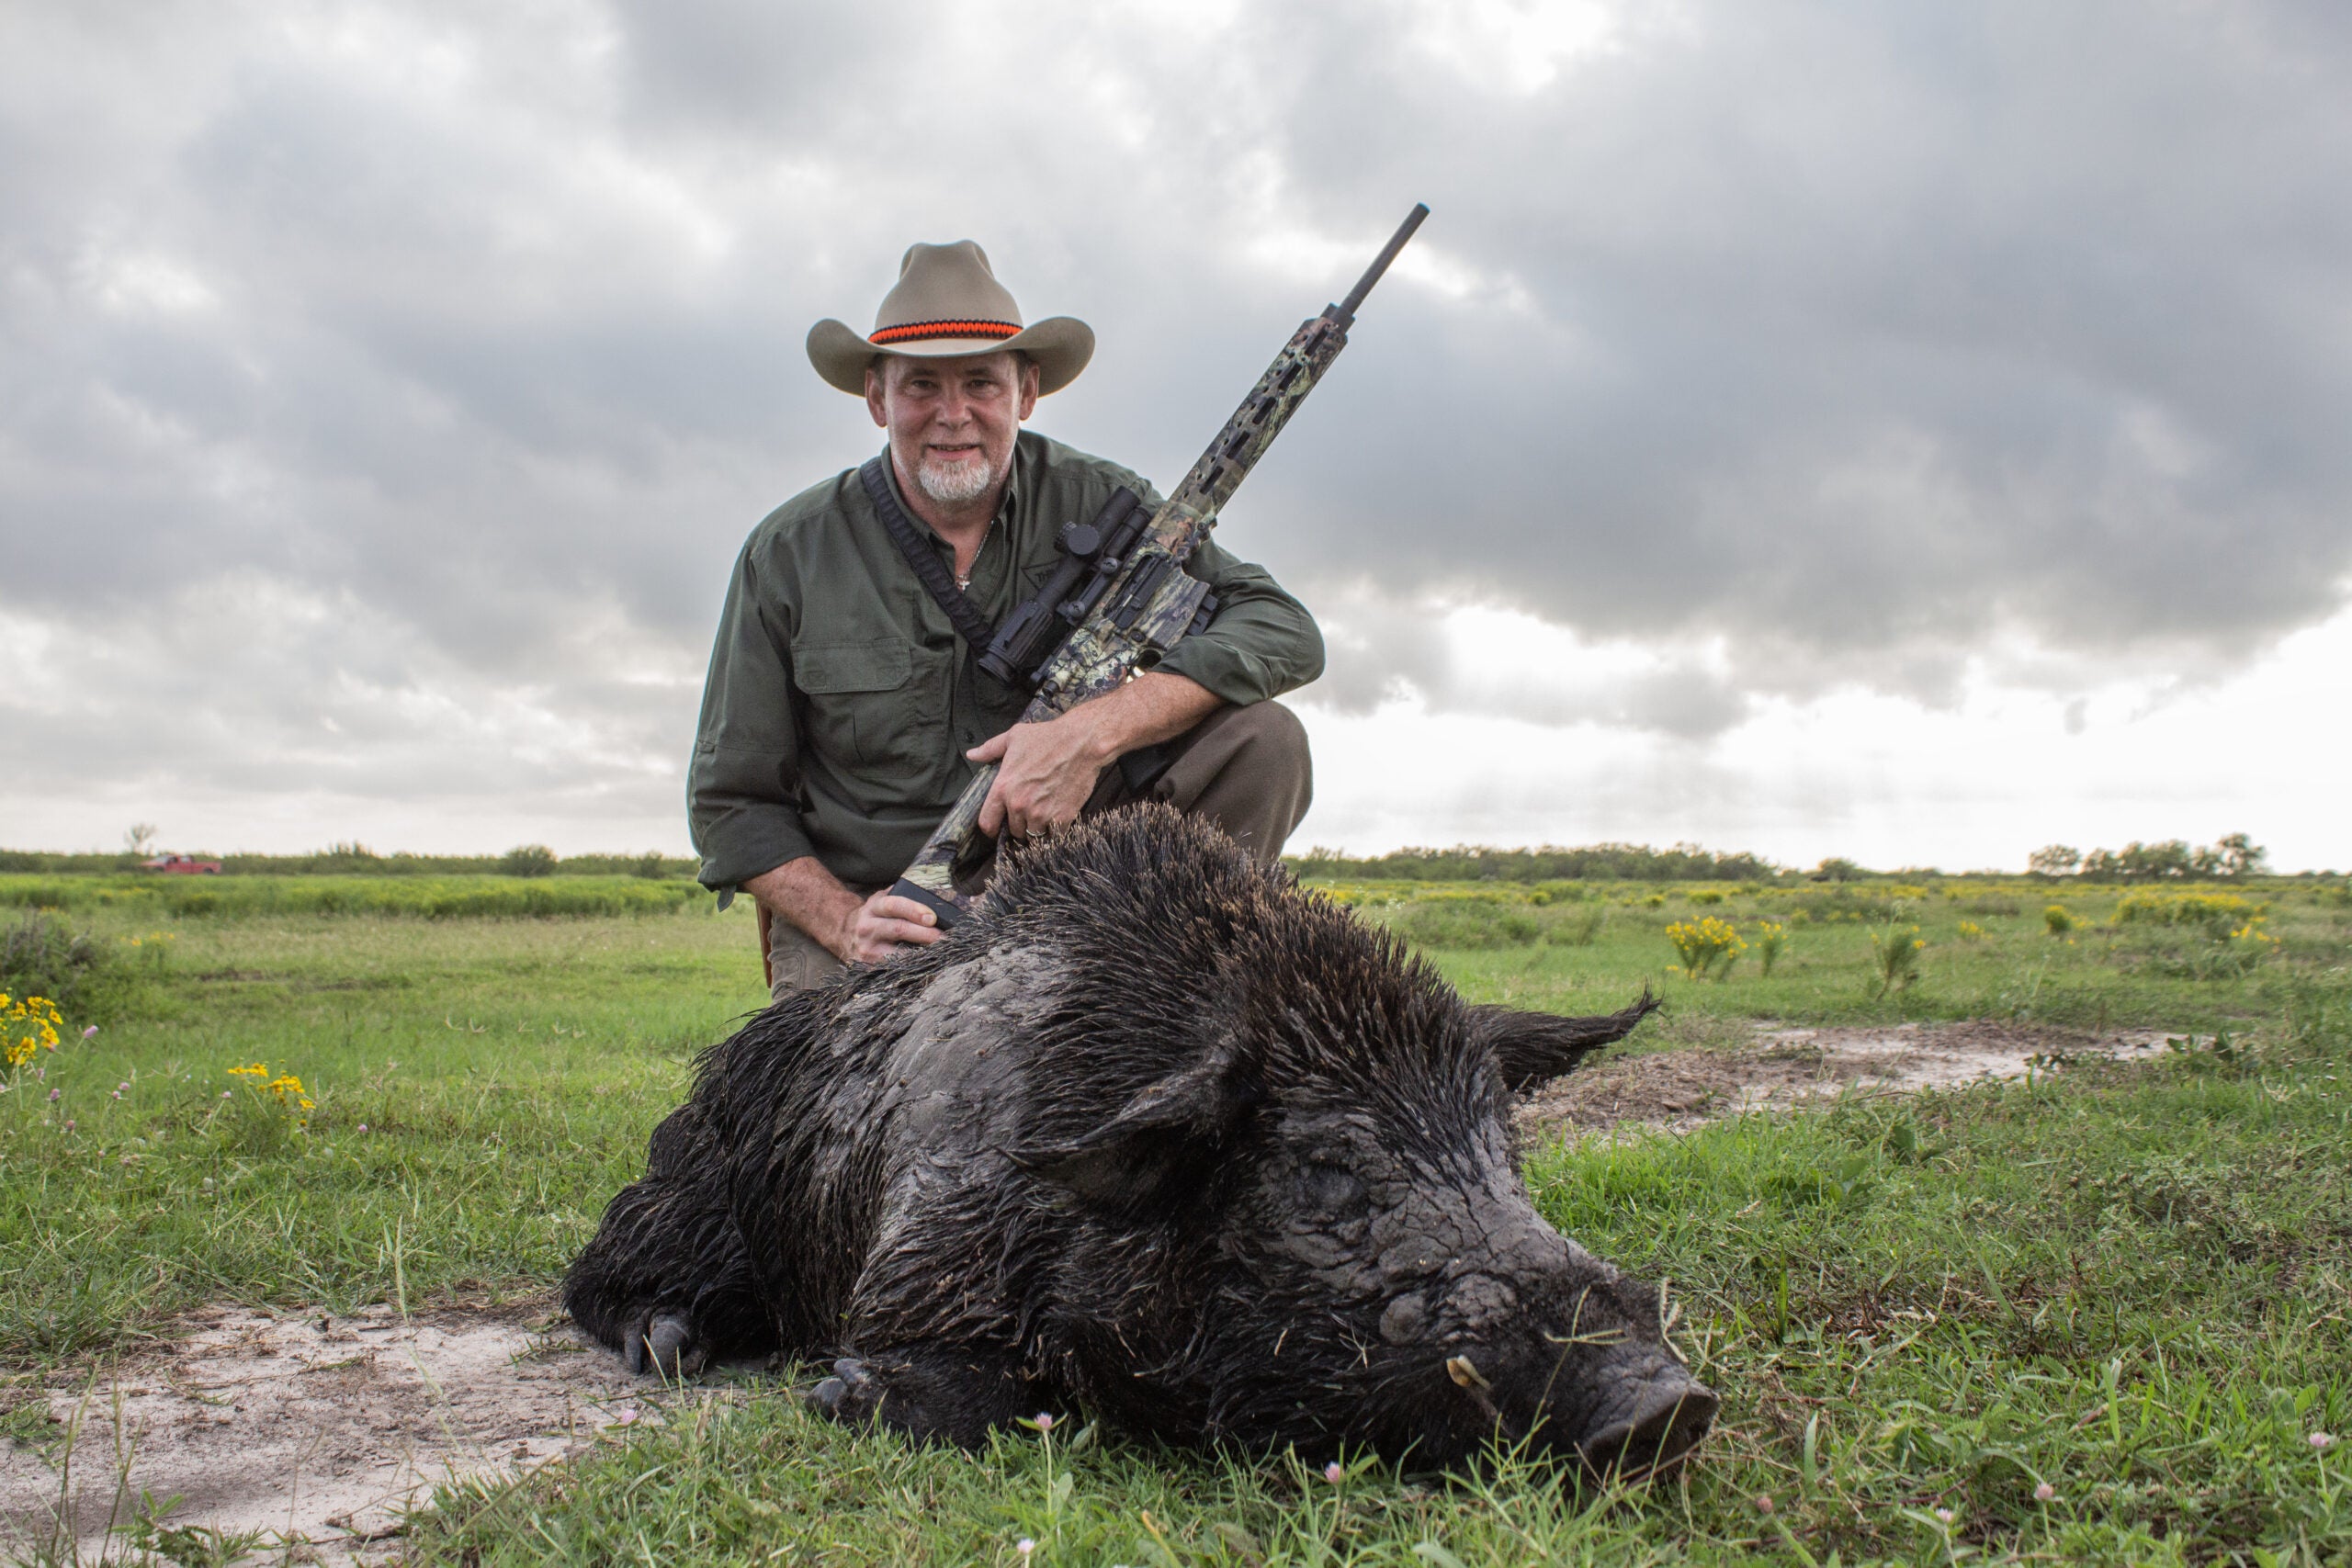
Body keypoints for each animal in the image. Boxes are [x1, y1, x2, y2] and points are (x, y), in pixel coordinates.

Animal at [565, 804, 1714, 1474]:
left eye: (1505, 1151)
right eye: (1327, 1171)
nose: (1669, 1402)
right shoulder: (921, 1251)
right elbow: (975, 1391)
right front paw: (838, 1392)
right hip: (681, 1199)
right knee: (600, 1280)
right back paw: (667, 1347)